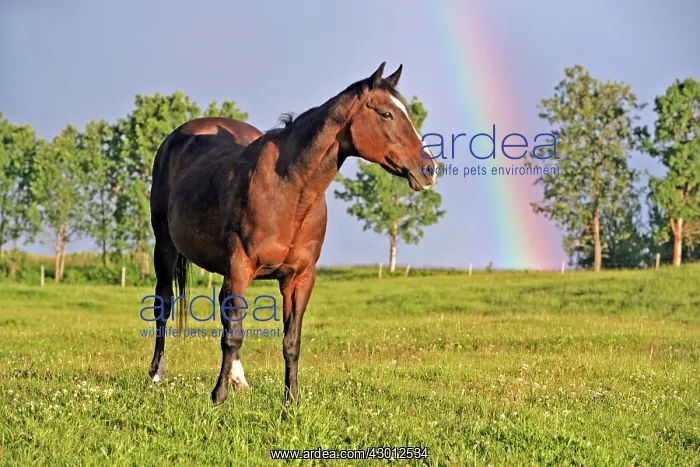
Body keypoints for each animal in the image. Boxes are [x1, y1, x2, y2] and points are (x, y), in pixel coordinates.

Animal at [148, 62, 438, 406]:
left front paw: (291, 401)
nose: (429, 169)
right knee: (164, 304)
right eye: (386, 114)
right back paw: (156, 374)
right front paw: (218, 398)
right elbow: (232, 336)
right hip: (165, 247)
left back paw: (238, 378)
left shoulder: (299, 278)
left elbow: (290, 341)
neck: (289, 190)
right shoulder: (240, 267)